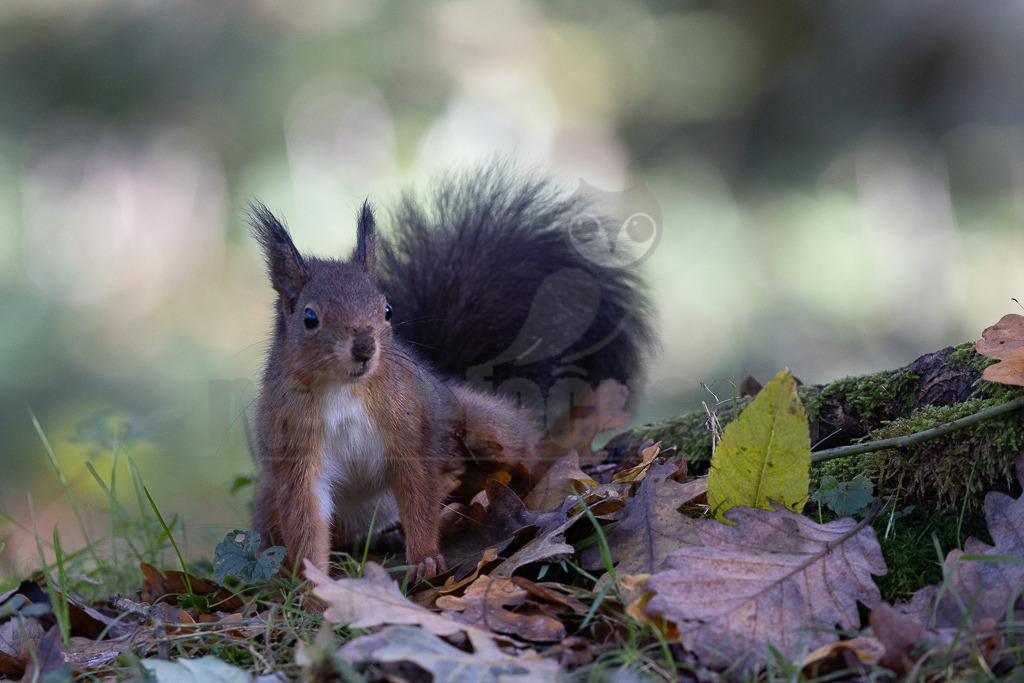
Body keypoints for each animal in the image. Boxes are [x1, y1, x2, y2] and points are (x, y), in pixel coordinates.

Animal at [249, 163, 656, 581]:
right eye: (310, 318)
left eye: (387, 310)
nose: (364, 348)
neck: (343, 390)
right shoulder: (292, 448)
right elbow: (304, 517)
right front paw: (311, 582)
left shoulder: (412, 428)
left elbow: (419, 492)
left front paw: (425, 559)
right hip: (271, 505)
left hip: (481, 423)